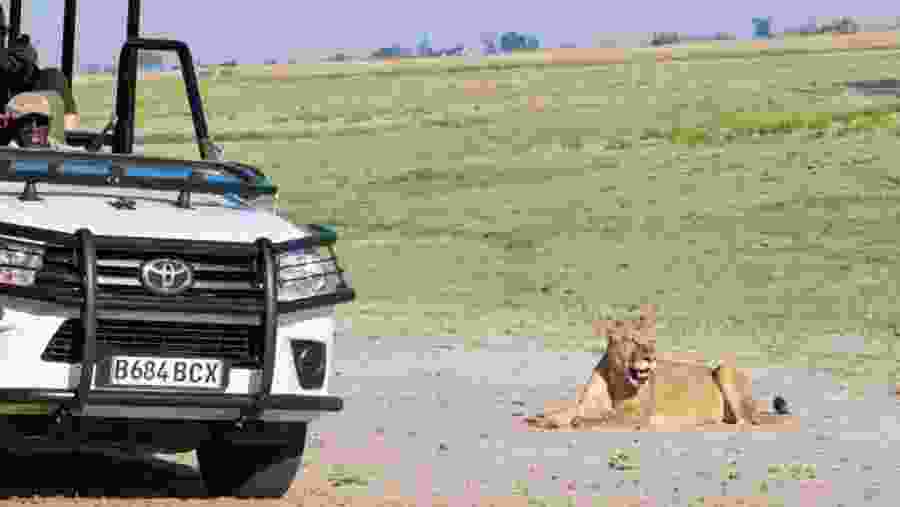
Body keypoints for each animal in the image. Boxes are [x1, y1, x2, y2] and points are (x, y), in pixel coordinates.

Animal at [533, 305, 789, 430]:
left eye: (651, 341)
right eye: (632, 340)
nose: (651, 356)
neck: (617, 380)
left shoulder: (636, 416)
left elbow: (601, 418)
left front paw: (578, 422)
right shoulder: (584, 404)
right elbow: (566, 411)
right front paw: (542, 418)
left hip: (724, 368)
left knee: (747, 421)